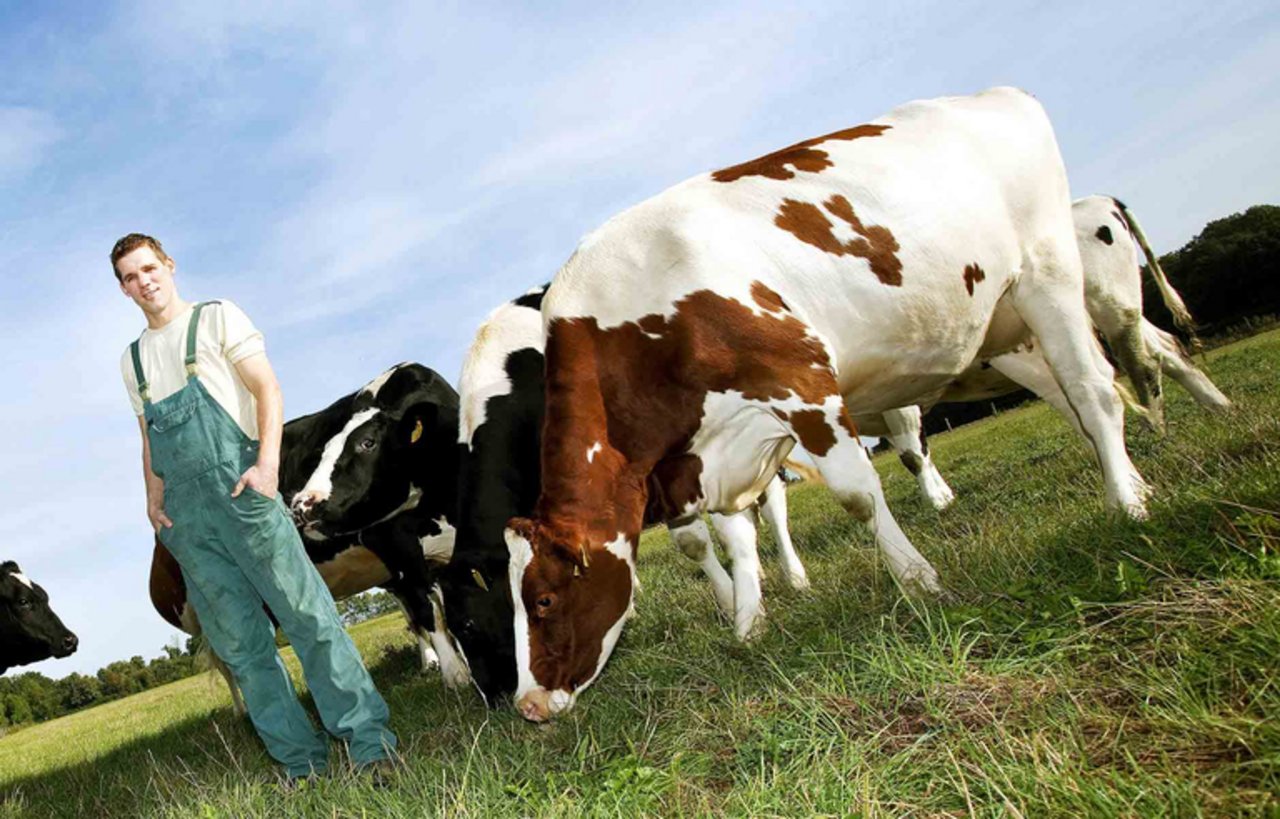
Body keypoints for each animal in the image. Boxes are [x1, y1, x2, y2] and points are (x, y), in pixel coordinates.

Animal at [149, 360, 468, 706]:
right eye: (322, 451)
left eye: (367, 443)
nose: (301, 504)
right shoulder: (393, 542)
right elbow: (428, 609)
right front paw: (456, 677)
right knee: (232, 659)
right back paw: (247, 710)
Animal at [435, 286, 803, 706]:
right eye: (453, 630)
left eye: (468, 622)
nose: (493, 698)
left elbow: (692, 539)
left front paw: (730, 602)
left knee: (770, 502)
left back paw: (794, 575)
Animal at [501, 86, 1152, 721]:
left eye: (544, 599)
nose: (528, 705)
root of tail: (997, 95)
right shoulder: (711, 449)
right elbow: (738, 540)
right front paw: (749, 627)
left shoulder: (801, 381)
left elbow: (857, 496)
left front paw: (920, 582)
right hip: (1005, 326)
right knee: (1069, 395)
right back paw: (1135, 484)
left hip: (1048, 273)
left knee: (1092, 387)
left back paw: (1127, 505)